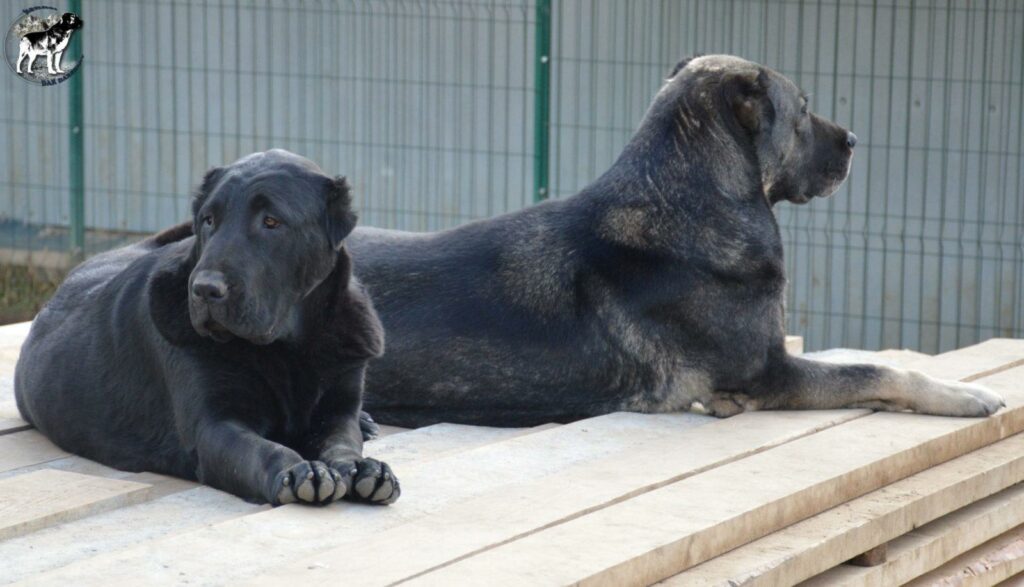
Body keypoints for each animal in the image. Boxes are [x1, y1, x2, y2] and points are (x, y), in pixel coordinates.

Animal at [17, 149, 399, 504]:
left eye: (271, 221)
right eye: (209, 220)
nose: (205, 289)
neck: (288, 348)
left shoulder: (337, 407)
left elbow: (342, 442)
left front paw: (362, 468)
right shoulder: (215, 426)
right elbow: (265, 451)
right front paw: (300, 471)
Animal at [348, 53, 1003, 426]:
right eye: (802, 112)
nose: (854, 141)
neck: (691, 203)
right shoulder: (770, 373)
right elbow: (880, 371)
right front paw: (962, 394)